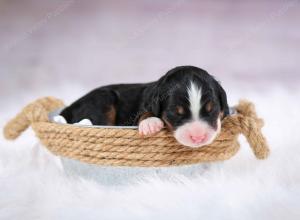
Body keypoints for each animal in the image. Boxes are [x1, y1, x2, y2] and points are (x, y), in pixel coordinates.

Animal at [60, 65, 230, 148]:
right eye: (176, 113)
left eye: (212, 109)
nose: (198, 137)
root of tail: (68, 108)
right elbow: (146, 113)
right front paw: (150, 123)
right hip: (103, 98)